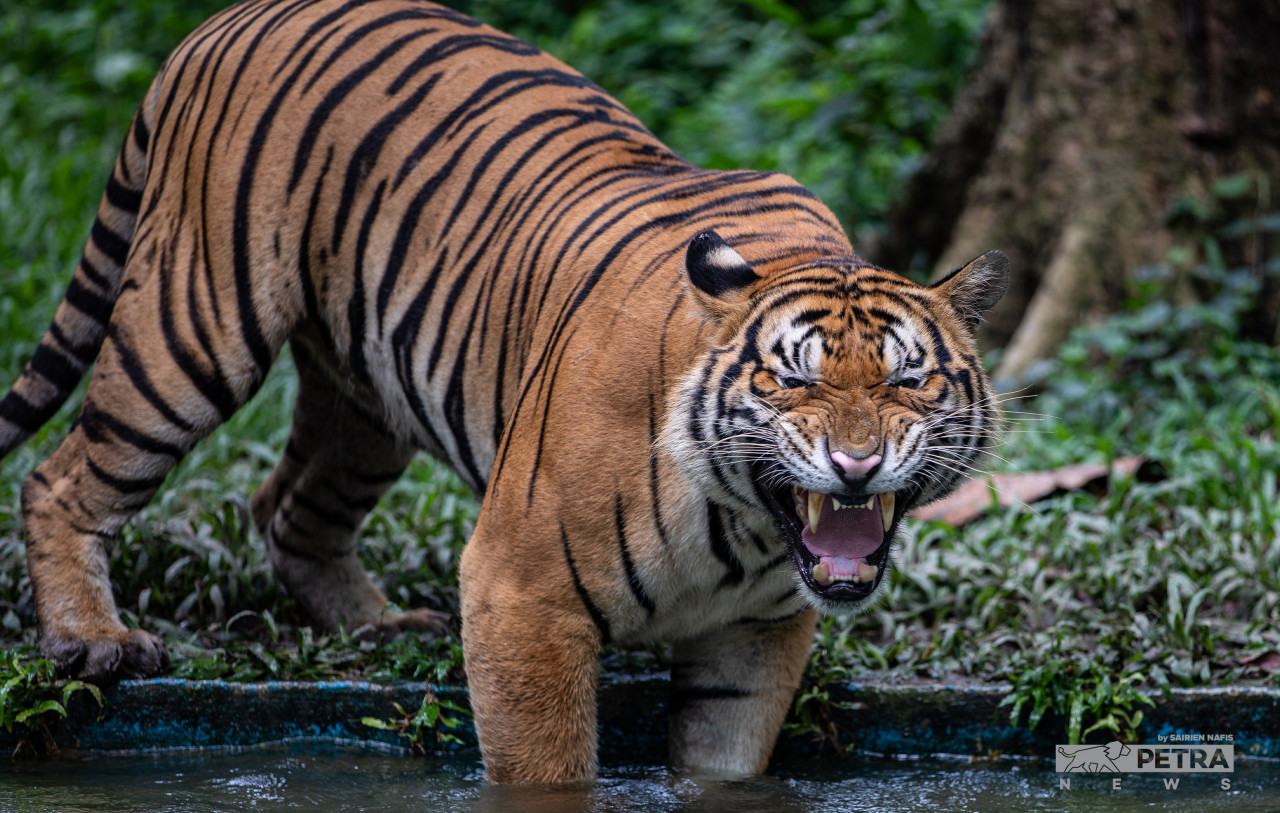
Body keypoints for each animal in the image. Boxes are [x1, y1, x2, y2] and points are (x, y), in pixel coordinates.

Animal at [0, 0, 1008, 783]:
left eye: (908, 378)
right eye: (793, 378)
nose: (855, 464)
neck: (746, 527)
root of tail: (228, 18)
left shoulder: (755, 634)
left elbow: (724, 764)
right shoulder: (522, 594)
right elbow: (547, 767)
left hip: (369, 400)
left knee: (289, 506)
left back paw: (377, 625)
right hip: (193, 323)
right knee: (63, 476)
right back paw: (93, 639)